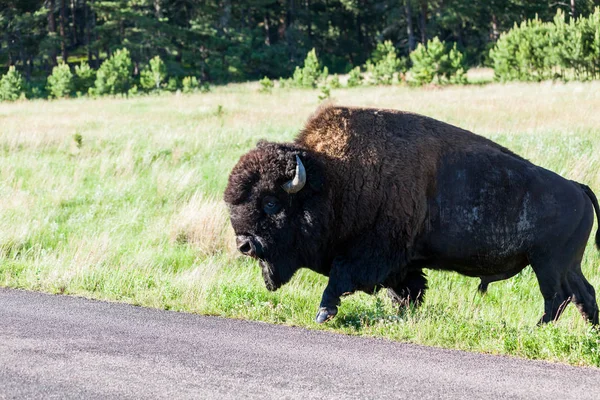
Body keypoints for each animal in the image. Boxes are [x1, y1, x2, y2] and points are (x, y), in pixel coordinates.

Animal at [221, 105, 600, 324]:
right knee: (583, 293)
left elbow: (340, 281)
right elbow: (407, 291)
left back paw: (536, 327)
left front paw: (323, 313)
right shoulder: (402, 265)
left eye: (271, 202)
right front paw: (403, 316)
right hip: (567, 264)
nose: (244, 245)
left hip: (547, 263)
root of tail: (576, 187)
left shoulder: (370, 255)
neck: (332, 177)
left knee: (556, 298)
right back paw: (589, 331)